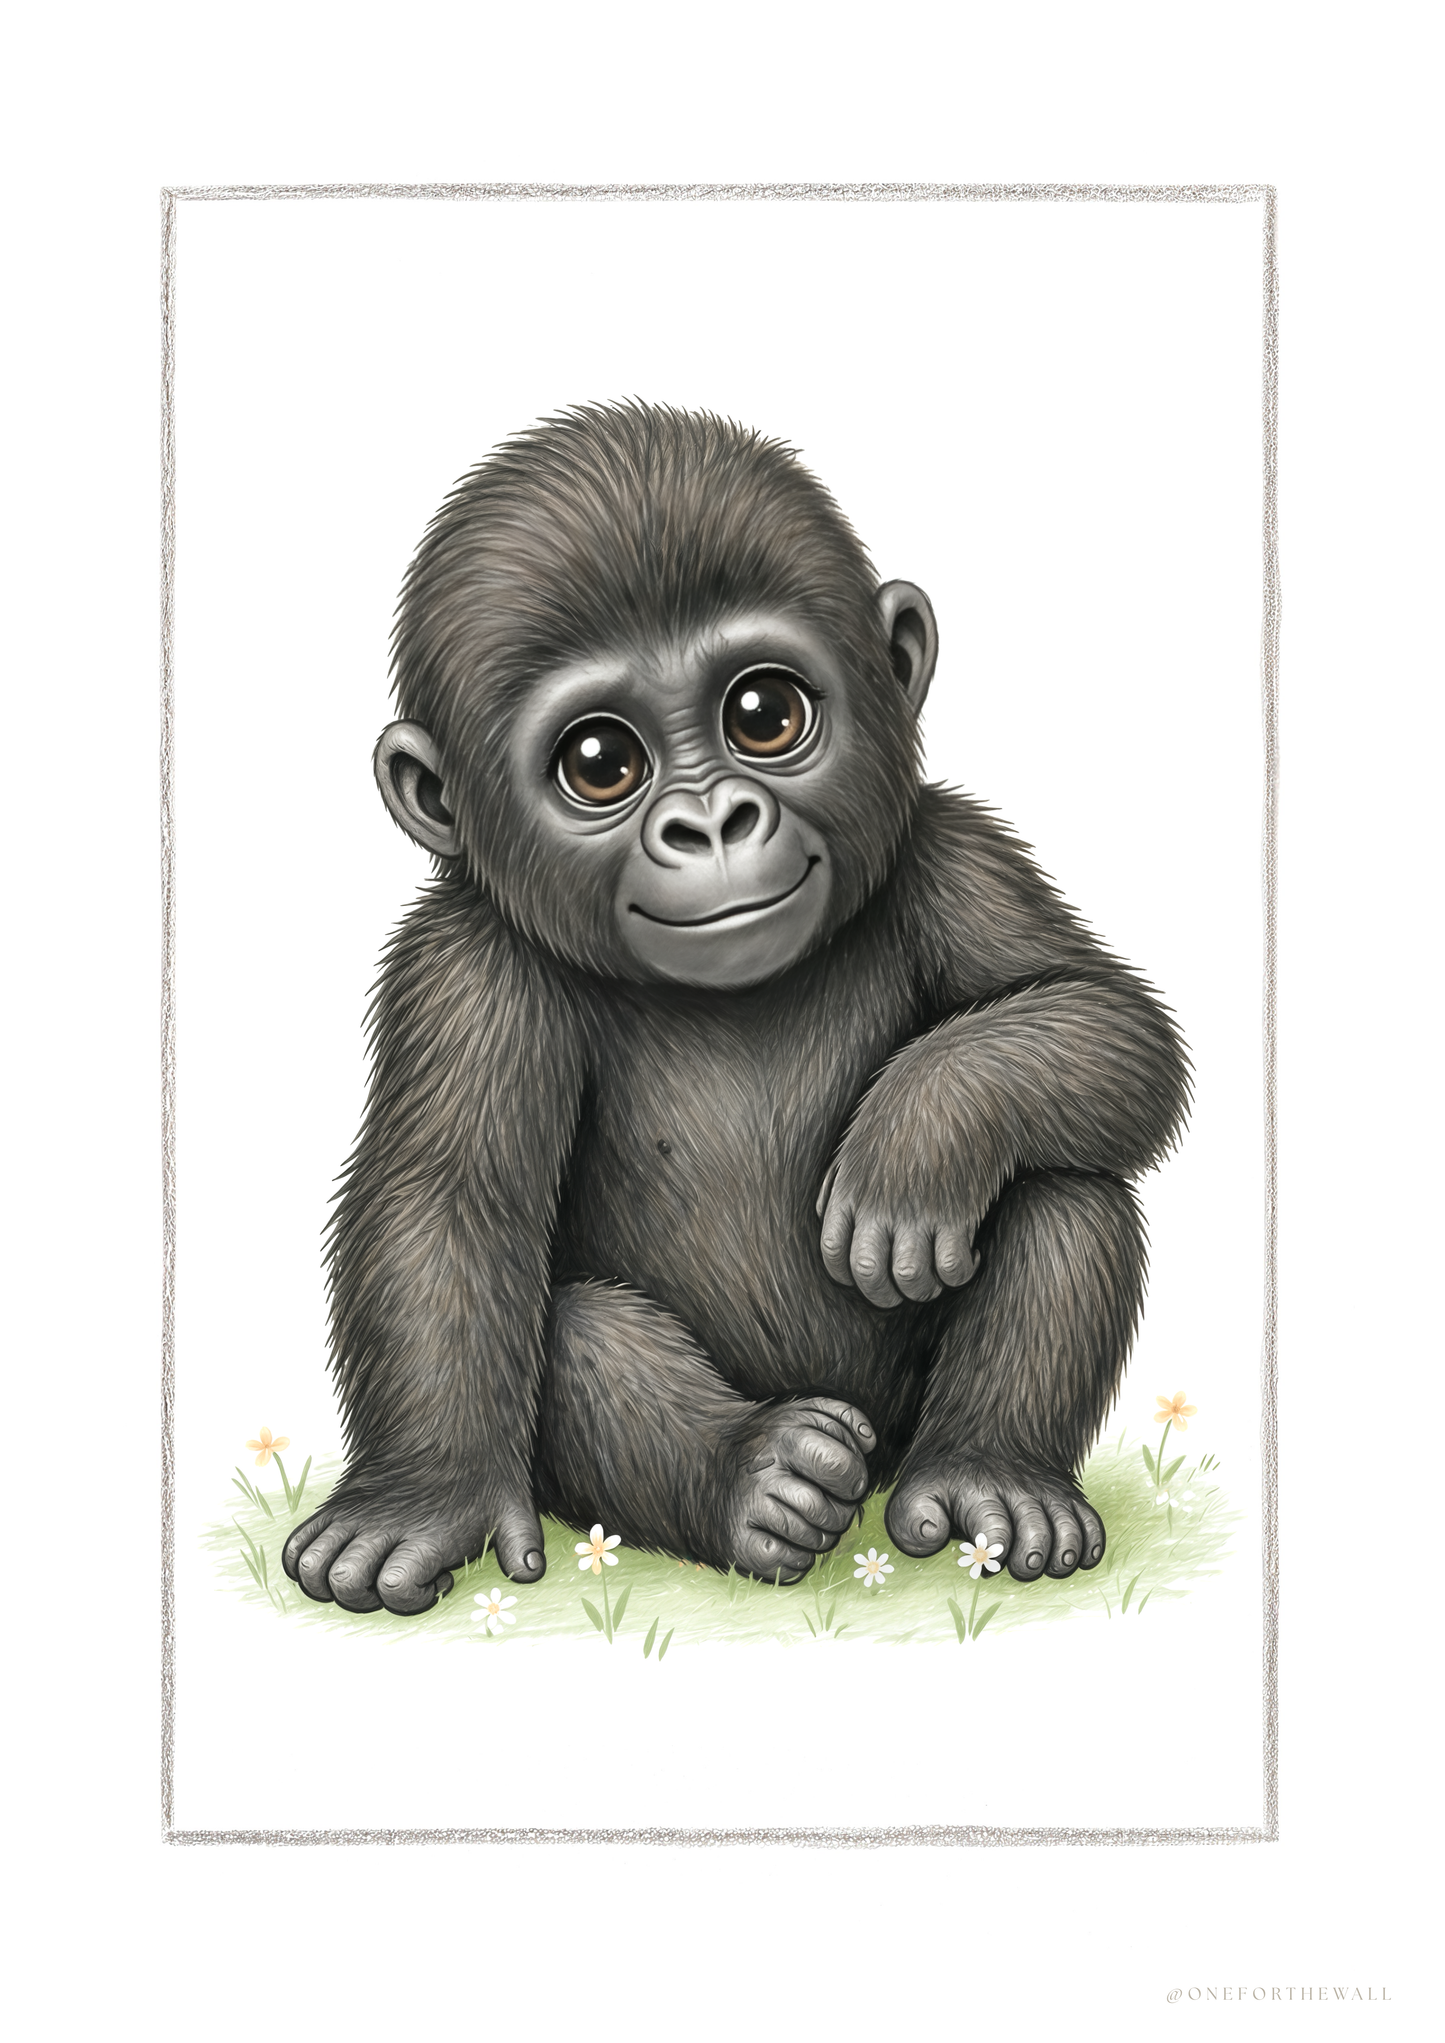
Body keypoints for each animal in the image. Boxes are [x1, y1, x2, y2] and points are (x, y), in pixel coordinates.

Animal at [283, 400, 1190, 1617]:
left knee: (1066, 1187)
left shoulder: (952, 848)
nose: (711, 822)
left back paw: (990, 1476)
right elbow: (445, 1206)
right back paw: (758, 1480)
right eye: (599, 761)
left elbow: (1104, 1017)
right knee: (571, 1326)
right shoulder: (463, 968)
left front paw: (921, 1134)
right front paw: (420, 1499)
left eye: (763, 712)